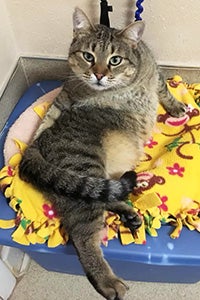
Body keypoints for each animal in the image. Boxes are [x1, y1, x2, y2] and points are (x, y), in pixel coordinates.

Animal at [18, 7, 186, 300]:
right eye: (88, 56)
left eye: (115, 60)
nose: (98, 75)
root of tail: (35, 148)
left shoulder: (155, 75)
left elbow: (163, 90)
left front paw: (175, 106)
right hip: (84, 171)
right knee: (83, 237)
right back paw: (108, 282)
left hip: (89, 183)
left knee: (106, 194)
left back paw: (128, 213)